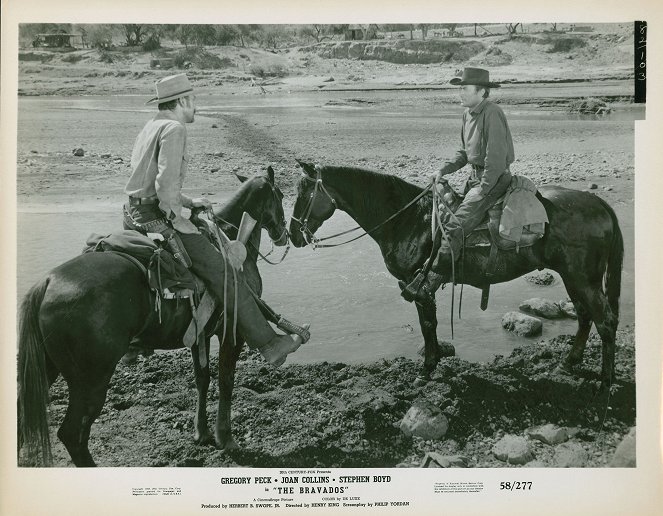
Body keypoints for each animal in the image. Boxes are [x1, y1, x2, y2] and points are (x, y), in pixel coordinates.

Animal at [17, 167, 288, 466]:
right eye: (281, 195)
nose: (284, 233)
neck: (233, 242)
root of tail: (47, 282)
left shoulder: (200, 335)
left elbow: (202, 379)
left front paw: (201, 433)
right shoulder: (232, 333)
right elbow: (226, 380)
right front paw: (225, 438)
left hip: (49, 366)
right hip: (91, 378)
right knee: (72, 433)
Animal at [290, 161, 624, 388]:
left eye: (303, 193)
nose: (293, 234)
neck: (407, 219)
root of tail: (599, 204)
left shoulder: (417, 285)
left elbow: (427, 326)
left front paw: (426, 370)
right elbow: (431, 326)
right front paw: (434, 362)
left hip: (584, 280)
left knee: (605, 322)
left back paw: (605, 383)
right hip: (574, 279)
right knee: (584, 317)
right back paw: (569, 363)